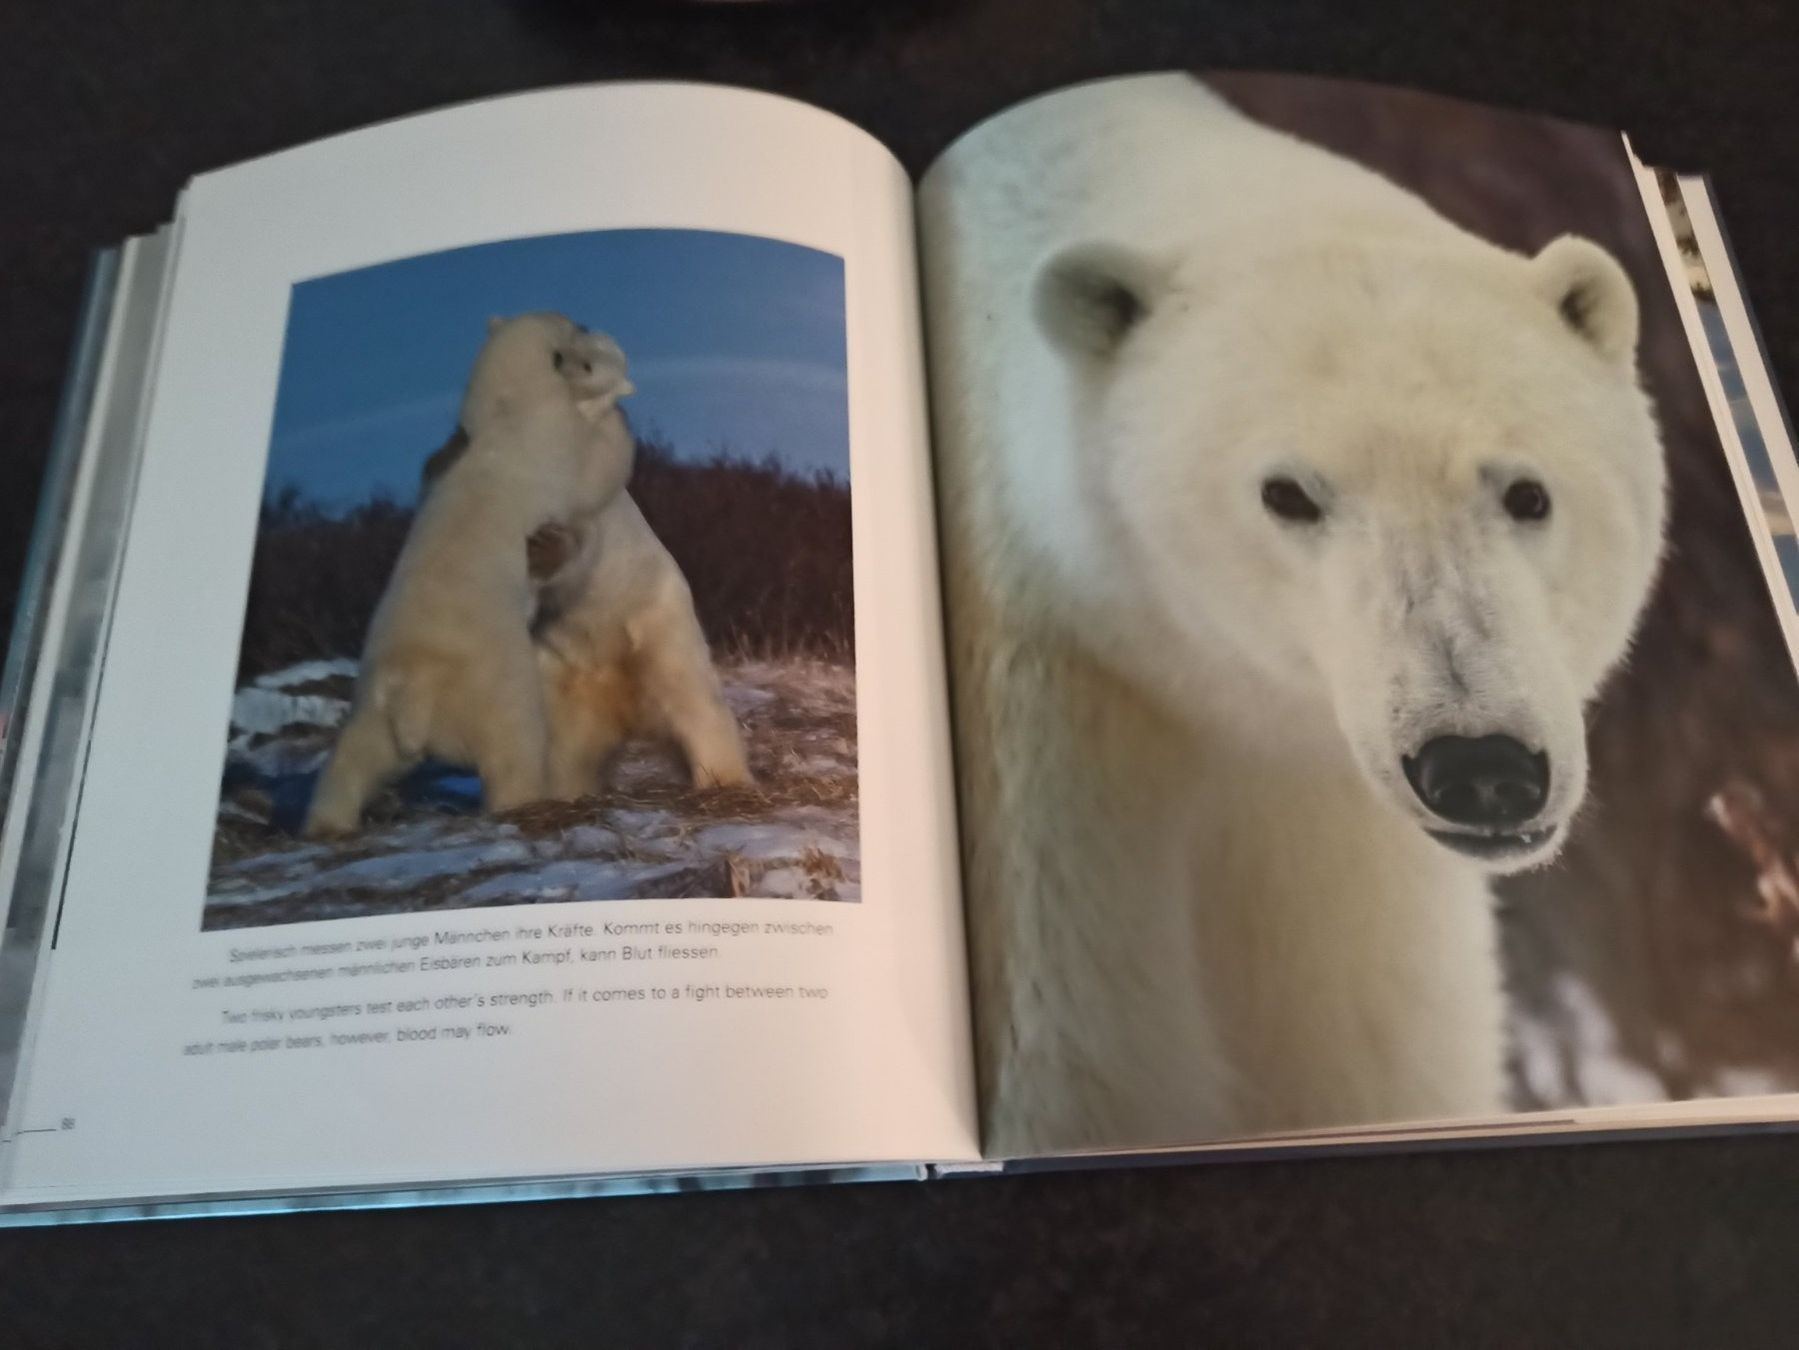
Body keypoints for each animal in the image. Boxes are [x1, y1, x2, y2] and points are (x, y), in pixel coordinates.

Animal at [303, 312, 634, 836]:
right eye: (571, 327)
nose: (586, 321)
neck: (505, 414)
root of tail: (415, 696)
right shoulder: (552, 444)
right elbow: (599, 465)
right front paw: (617, 418)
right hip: (492, 686)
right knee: (514, 744)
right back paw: (528, 799)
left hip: (375, 706)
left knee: (352, 762)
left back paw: (326, 823)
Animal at [917, 74, 1668, 1153]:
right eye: (1288, 494)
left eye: (1526, 493)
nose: (1480, 769)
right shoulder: (1049, 772)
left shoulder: (1330, 832)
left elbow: (1361, 1045)